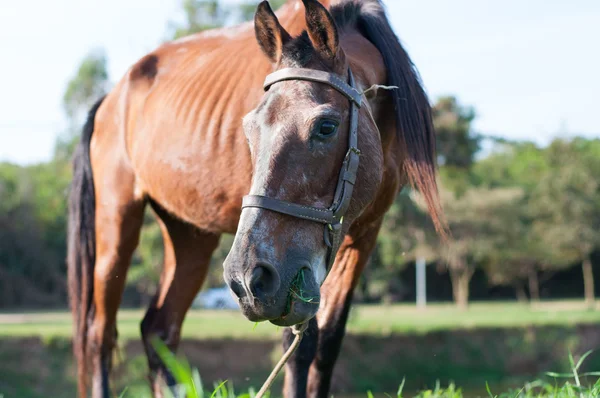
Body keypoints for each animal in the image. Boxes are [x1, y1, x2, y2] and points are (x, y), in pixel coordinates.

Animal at [67, 0, 446, 398]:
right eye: (249, 128)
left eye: (326, 126)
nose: (246, 277)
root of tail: (111, 99)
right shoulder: (296, 276)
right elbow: (298, 347)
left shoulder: (362, 235)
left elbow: (326, 345)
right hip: (116, 228)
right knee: (99, 335)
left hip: (191, 237)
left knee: (159, 330)